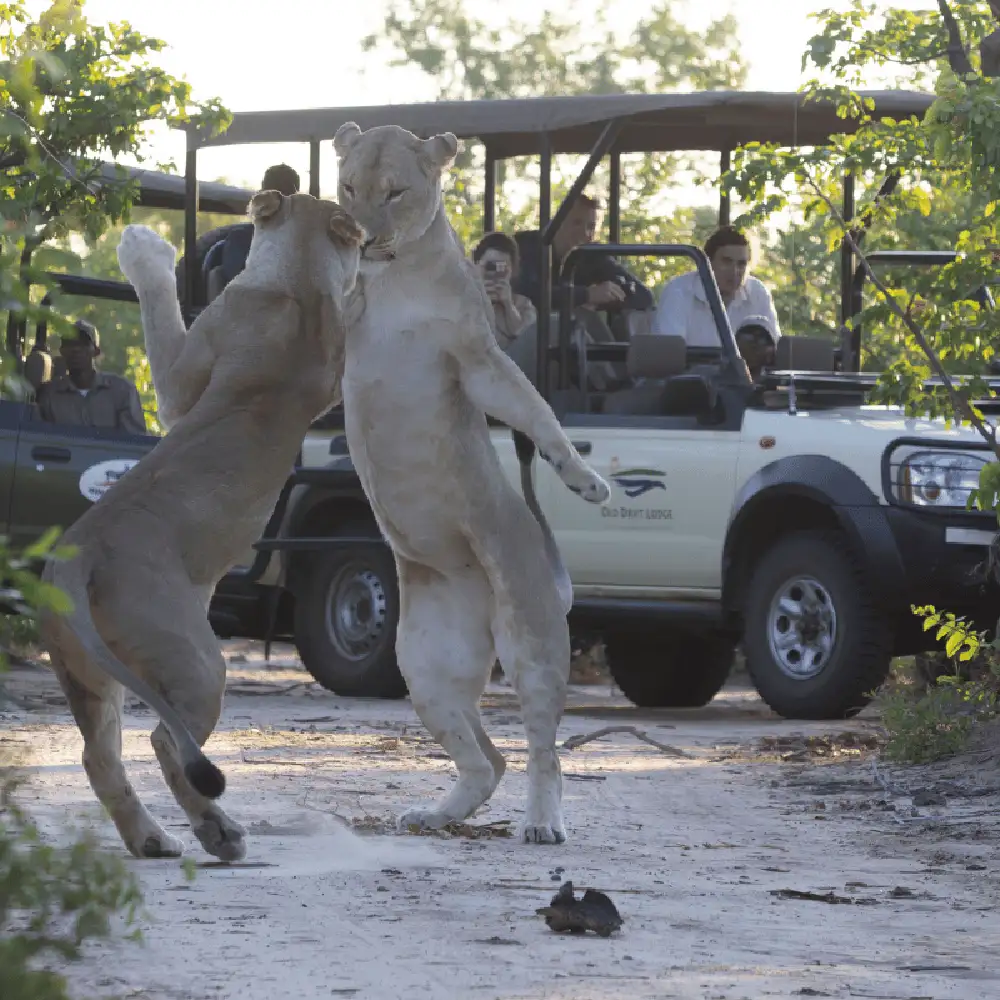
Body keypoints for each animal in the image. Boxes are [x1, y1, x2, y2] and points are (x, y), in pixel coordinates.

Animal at [37, 192, 364, 861]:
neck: (298, 273)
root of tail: (80, 552)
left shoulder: (186, 383)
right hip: (151, 667)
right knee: (140, 749)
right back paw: (194, 835)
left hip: (130, 670)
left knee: (126, 751)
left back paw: (181, 837)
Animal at [332, 121, 611, 844]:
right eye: (347, 189)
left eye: (394, 193)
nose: (361, 238)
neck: (395, 275)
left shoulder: (478, 362)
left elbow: (538, 413)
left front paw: (586, 480)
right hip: (424, 667)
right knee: (486, 760)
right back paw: (433, 814)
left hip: (530, 642)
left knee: (543, 753)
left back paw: (542, 823)